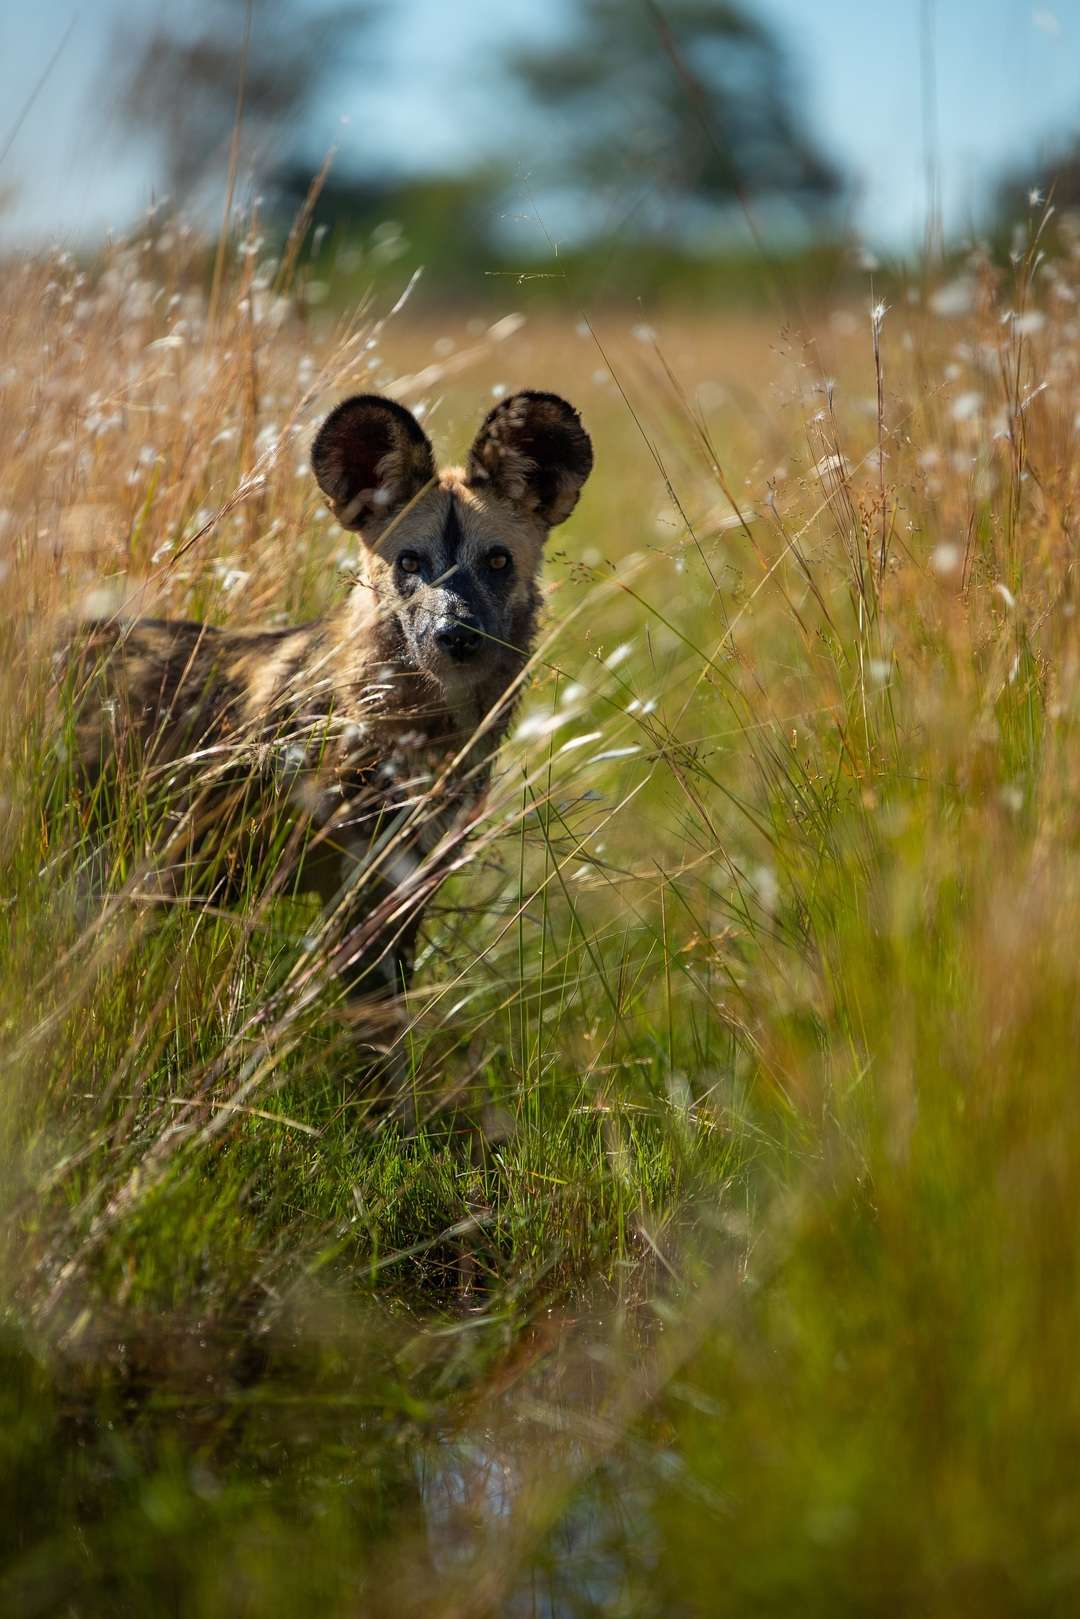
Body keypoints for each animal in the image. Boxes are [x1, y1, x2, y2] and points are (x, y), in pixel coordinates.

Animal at [69, 393, 592, 1094]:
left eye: (498, 561)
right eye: (410, 563)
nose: (455, 635)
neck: (424, 732)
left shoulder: (402, 893)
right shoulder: (356, 901)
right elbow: (377, 1055)